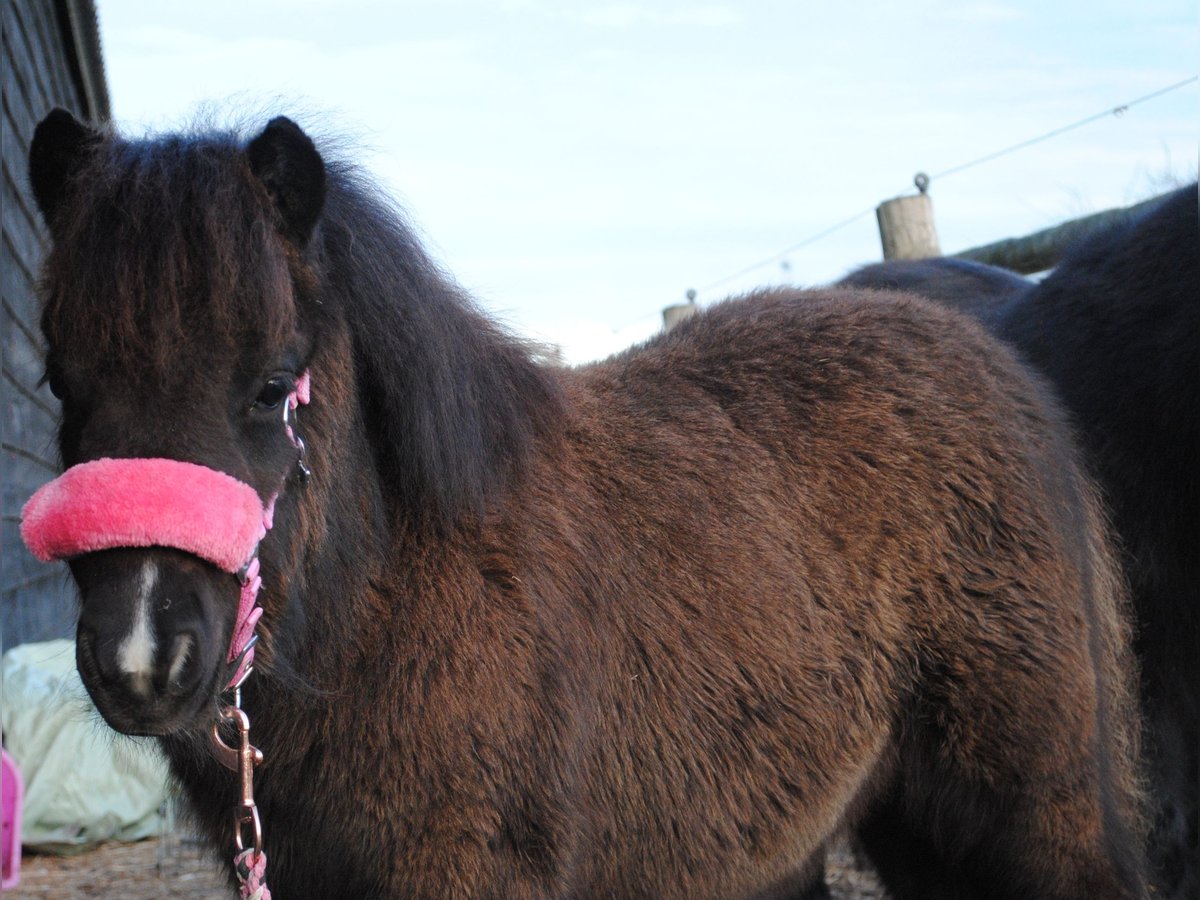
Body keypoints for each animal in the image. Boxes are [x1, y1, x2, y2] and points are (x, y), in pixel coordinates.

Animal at [30, 109, 1152, 897]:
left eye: (271, 385)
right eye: (61, 387)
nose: (141, 660)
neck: (390, 605)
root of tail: (998, 365)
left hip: (1034, 810)